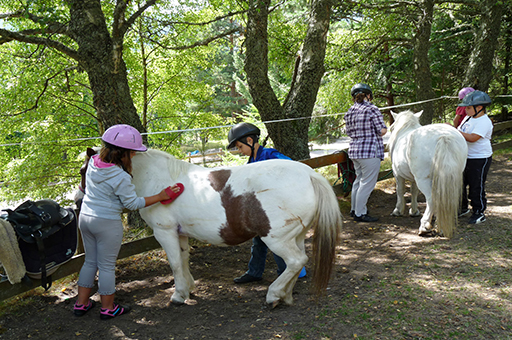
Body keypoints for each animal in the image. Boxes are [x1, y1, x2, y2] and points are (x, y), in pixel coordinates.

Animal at [78, 148, 342, 306]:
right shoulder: (180, 233)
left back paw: (274, 294)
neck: (159, 179)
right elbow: (184, 260)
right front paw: (188, 288)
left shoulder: (165, 232)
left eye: (83, 170)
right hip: (294, 236)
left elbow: (175, 263)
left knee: (296, 261)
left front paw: (178, 295)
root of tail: (309, 174)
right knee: (297, 263)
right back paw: (285, 295)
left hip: (277, 239)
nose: (78, 198)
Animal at [388, 110, 468, 238]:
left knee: (431, 199)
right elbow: (413, 191)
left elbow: (400, 191)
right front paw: (414, 211)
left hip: (423, 180)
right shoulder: (413, 178)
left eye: (392, 128)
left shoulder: (398, 175)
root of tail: (444, 137)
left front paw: (398, 210)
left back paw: (424, 226)